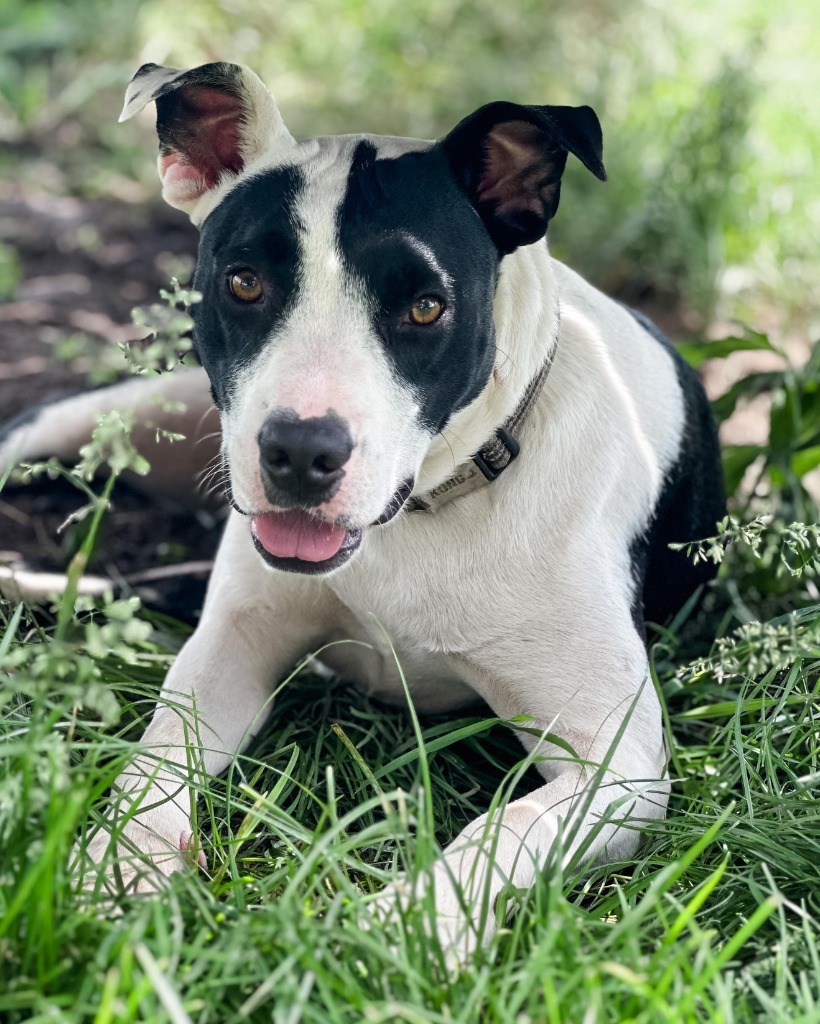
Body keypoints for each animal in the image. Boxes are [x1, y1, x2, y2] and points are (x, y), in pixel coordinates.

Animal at [0, 64, 724, 958]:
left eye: (425, 306)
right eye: (244, 281)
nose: (300, 451)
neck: (424, 514)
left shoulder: (614, 761)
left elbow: (502, 831)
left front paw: (407, 927)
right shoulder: (229, 649)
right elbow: (157, 754)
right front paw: (120, 863)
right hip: (130, 412)